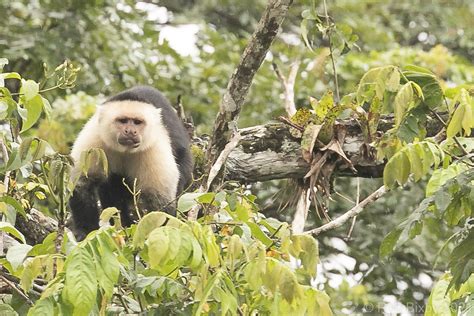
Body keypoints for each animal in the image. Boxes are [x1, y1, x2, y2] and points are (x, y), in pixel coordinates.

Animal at [68, 86, 193, 239]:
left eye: (137, 122)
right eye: (123, 121)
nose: (130, 131)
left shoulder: (154, 147)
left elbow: (158, 201)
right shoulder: (95, 138)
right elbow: (82, 184)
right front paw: (86, 231)